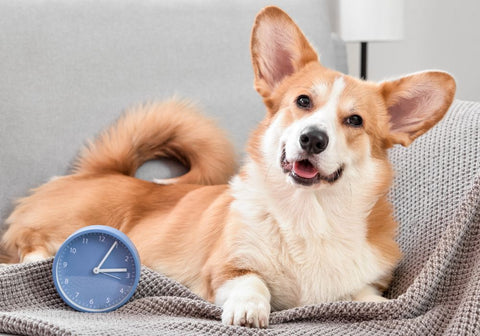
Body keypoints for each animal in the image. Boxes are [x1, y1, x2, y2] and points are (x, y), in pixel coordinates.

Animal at [1, 6, 456, 330]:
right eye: (303, 101)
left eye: (355, 121)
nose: (312, 138)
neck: (307, 214)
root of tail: (98, 171)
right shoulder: (225, 267)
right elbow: (251, 281)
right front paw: (249, 310)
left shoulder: (362, 282)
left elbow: (369, 298)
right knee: (27, 244)